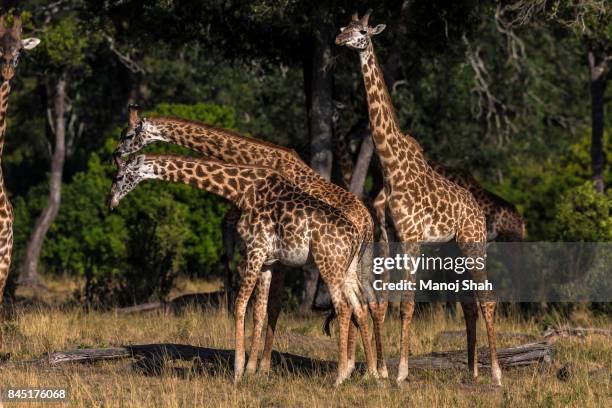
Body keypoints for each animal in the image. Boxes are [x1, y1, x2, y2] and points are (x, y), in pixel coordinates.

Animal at [115, 106, 390, 380]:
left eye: (128, 135)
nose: (116, 153)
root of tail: (368, 222)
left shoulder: (272, 254)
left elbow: (270, 307)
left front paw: (258, 367)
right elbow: (262, 309)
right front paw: (256, 367)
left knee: (362, 303)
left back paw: (365, 369)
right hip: (359, 262)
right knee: (370, 303)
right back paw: (374, 370)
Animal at [334, 10, 502, 386]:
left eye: (362, 31)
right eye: (343, 27)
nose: (340, 41)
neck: (391, 166)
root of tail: (476, 211)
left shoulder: (411, 238)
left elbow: (407, 302)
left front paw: (400, 373)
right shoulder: (388, 235)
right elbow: (382, 302)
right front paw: (381, 371)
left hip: (473, 244)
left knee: (487, 298)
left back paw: (497, 375)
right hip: (453, 250)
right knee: (469, 303)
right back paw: (473, 371)